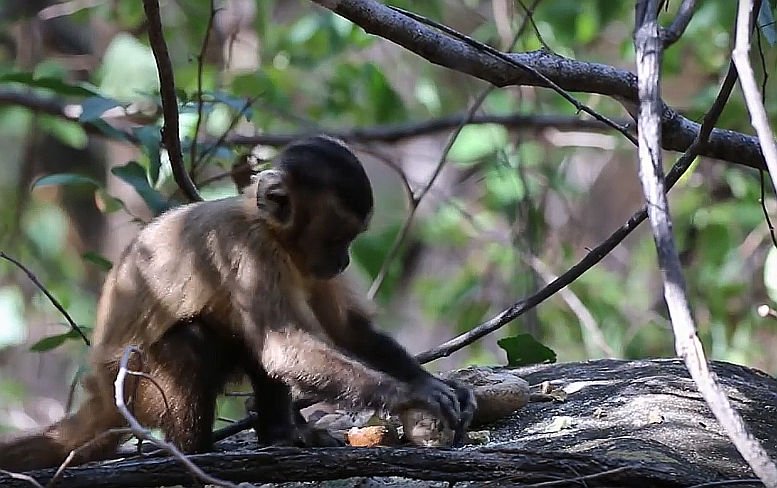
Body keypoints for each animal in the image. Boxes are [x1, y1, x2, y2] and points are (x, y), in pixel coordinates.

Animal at [0, 136, 476, 471]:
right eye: (337, 238)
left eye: (350, 242)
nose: (342, 261)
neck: (268, 228)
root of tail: (99, 390)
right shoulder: (252, 249)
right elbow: (283, 345)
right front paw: (412, 394)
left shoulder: (304, 263)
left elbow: (346, 330)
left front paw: (434, 384)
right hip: (135, 393)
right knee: (194, 340)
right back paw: (191, 453)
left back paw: (281, 434)